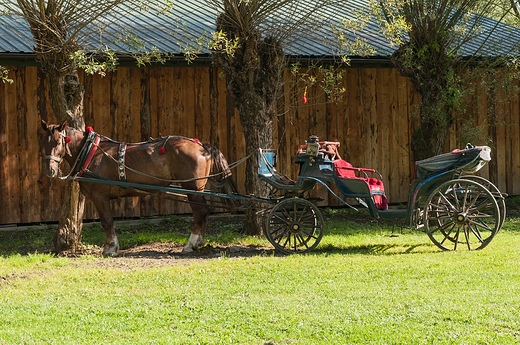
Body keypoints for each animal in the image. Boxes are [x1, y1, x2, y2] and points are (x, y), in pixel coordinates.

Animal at [40, 119, 236, 254]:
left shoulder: (100, 197)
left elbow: (107, 221)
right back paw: (198, 242)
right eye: (43, 143)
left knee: (200, 212)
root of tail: (202, 146)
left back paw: (190, 244)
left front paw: (110, 248)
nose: (50, 170)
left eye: (59, 142)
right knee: (204, 212)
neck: (91, 153)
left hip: (192, 188)